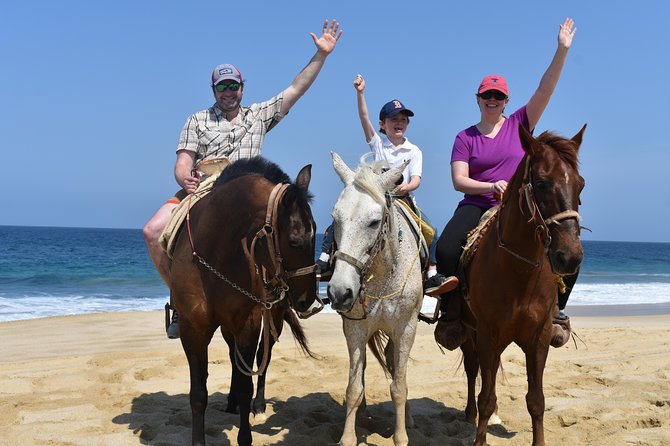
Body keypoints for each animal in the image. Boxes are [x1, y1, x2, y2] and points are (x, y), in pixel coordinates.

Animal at [172, 157, 322, 446]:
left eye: (317, 233)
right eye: (294, 241)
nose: (307, 298)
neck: (214, 253)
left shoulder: (248, 325)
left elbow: (246, 386)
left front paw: (245, 435)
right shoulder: (192, 330)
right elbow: (198, 394)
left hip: (272, 317)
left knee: (264, 356)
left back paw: (259, 404)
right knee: (234, 357)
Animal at [326, 152, 426, 446]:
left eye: (373, 222)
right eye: (335, 218)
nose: (339, 292)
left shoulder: (405, 329)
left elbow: (399, 386)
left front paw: (401, 436)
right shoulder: (355, 329)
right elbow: (353, 387)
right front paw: (348, 437)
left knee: (395, 367)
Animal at [462, 123, 588, 444]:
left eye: (580, 185)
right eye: (541, 184)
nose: (570, 257)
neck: (519, 272)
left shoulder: (539, 337)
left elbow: (536, 400)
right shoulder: (488, 334)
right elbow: (486, 397)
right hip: (471, 332)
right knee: (472, 369)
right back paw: (468, 414)